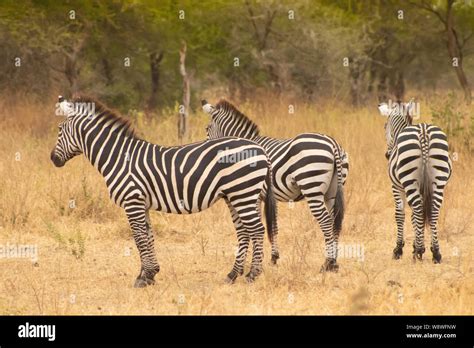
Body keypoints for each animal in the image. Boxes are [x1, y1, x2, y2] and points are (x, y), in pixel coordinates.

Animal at [51, 96, 278, 288]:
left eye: (60, 129)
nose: (53, 159)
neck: (119, 157)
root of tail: (259, 148)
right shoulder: (142, 203)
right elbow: (148, 236)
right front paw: (150, 274)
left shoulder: (132, 201)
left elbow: (139, 238)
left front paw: (144, 278)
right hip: (237, 196)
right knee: (244, 231)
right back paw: (232, 274)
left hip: (243, 193)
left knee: (257, 230)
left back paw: (252, 274)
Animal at [200, 98, 348, 272]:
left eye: (207, 128)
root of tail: (332, 143)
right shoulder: (270, 197)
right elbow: (274, 225)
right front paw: (273, 258)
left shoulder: (254, 196)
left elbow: (256, 226)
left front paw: (255, 262)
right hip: (332, 192)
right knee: (334, 221)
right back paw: (334, 263)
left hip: (312, 187)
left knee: (326, 221)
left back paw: (327, 263)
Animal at [378, 99, 452, 262]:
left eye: (385, 126)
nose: (387, 155)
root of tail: (423, 131)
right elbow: (416, 216)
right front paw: (418, 246)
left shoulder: (397, 187)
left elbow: (400, 215)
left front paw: (400, 249)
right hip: (438, 181)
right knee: (434, 210)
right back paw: (436, 252)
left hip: (409, 180)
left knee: (418, 208)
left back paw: (419, 251)